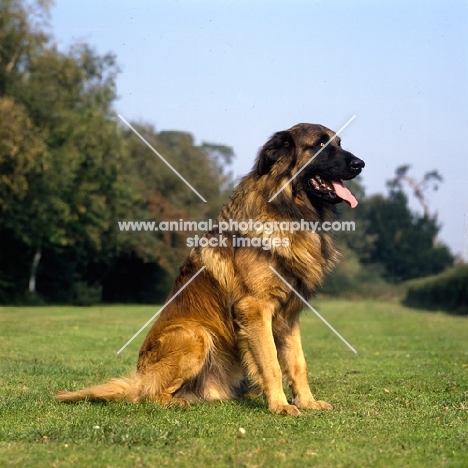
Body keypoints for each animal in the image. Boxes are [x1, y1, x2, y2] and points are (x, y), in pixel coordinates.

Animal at [56, 122, 364, 414]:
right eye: (320, 145)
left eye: (339, 143)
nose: (360, 164)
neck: (288, 209)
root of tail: (139, 378)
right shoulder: (255, 309)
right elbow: (272, 364)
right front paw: (280, 405)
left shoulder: (288, 316)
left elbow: (298, 363)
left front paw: (307, 402)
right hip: (196, 334)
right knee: (148, 396)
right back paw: (178, 401)